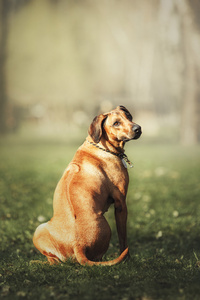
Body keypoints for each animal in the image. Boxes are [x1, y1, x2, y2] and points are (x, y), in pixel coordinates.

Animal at [32, 105, 141, 264]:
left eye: (129, 116)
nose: (138, 128)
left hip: (39, 229)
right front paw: (128, 258)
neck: (100, 146)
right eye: (116, 123)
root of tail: (78, 246)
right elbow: (123, 239)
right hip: (107, 227)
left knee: (53, 260)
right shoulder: (121, 204)